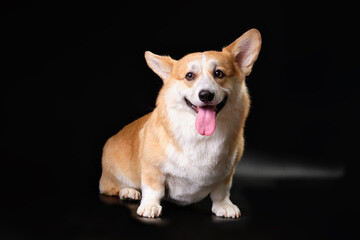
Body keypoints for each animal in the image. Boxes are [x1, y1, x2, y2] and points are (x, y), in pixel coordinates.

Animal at [99, 28, 262, 218]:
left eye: (219, 73)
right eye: (189, 76)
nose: (206, 95)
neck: (200, 137)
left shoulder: (227, 174)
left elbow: (221, 192)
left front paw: (224, 206)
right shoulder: (152, 169)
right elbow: (153, 189)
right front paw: (150, 206)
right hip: (111, 177)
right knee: (112, 188)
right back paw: (129, 191)